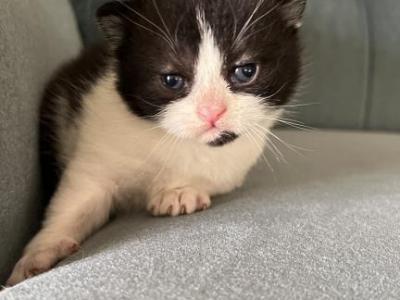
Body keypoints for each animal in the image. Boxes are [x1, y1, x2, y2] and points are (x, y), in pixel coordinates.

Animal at [6, 0, 304, 286]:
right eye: (172, 79)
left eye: (246, 71)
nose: (211, 111)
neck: (170, 139)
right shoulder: (96, 149)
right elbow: (76, 200)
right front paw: (39, 253)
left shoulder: (234, 162)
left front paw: (179, 192)